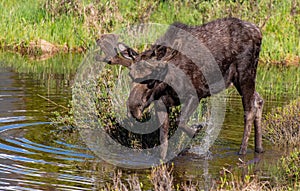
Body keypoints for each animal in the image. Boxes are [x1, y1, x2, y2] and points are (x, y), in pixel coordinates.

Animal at [97, 17, 264, 157]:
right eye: (131, 76)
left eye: (152, 81)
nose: (133, 109)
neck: (167, 84)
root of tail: (258, 31)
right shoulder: (160, 103)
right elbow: (163, 139)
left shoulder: (195, 94)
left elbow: (180, 121)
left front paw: (197, 130)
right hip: (238, 79)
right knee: (258, 100)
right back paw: (259, 148)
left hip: (245, 73)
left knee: (249, 110)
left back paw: (242, 151)